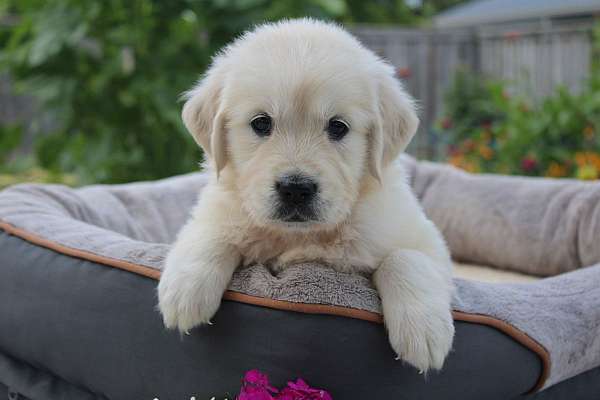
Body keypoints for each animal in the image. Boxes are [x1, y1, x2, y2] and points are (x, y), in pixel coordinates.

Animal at [159, 18, 454, 372]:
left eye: (338, 127)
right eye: (261, 123)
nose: (295, 189)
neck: (299, 236)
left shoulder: (425, 240)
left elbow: (407, 257)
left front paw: (424, 331)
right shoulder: (220, 208)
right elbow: (210, 233)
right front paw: (184, 290)